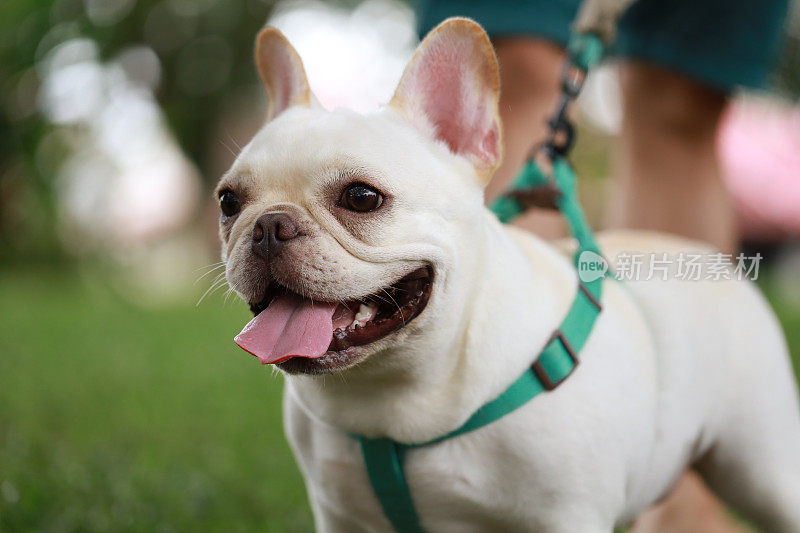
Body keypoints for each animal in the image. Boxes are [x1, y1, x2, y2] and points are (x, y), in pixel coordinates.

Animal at [216, 17, 800, 532]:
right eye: (228, 202)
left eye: (361, 197)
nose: (268, 225)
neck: (394, 390)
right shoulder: (340, 518)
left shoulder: (568, 518)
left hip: (763, 471)